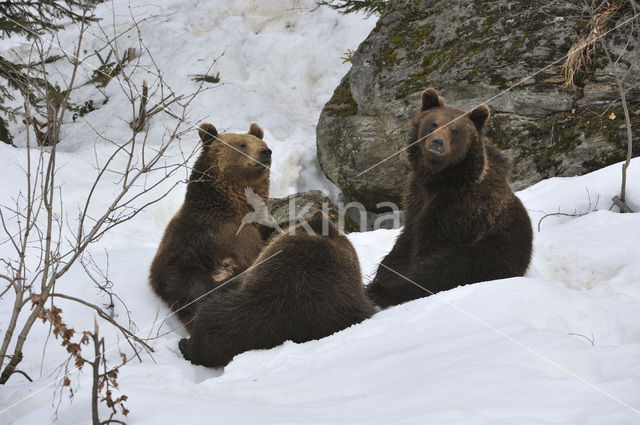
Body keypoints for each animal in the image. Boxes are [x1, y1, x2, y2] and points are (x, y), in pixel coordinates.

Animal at [364, 88, 536, 308]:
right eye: (433, 123)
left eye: (455, 130)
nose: (437, 142)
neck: (438, 179)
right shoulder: (416, 196)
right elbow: (405, 240)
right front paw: (384, 272)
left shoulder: (459, 209)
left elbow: (429, 250)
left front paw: (387, 283)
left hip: (492, 251)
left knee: (447, 268)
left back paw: (381, 292)